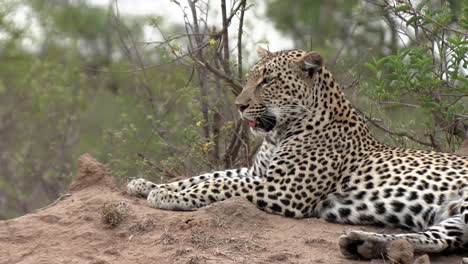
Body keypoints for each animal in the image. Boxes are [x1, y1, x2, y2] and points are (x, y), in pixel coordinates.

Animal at [128, 47, 468, 260]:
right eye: (250, 78)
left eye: (268, 80)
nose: (239, 105)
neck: (279, 133)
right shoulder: (256, 173)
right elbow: (206, 176)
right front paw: (147, 184)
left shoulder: (285, 189)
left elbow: (219, 184)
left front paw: (164, 196)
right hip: (450, 216)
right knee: (441, 240)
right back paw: (363, 244)